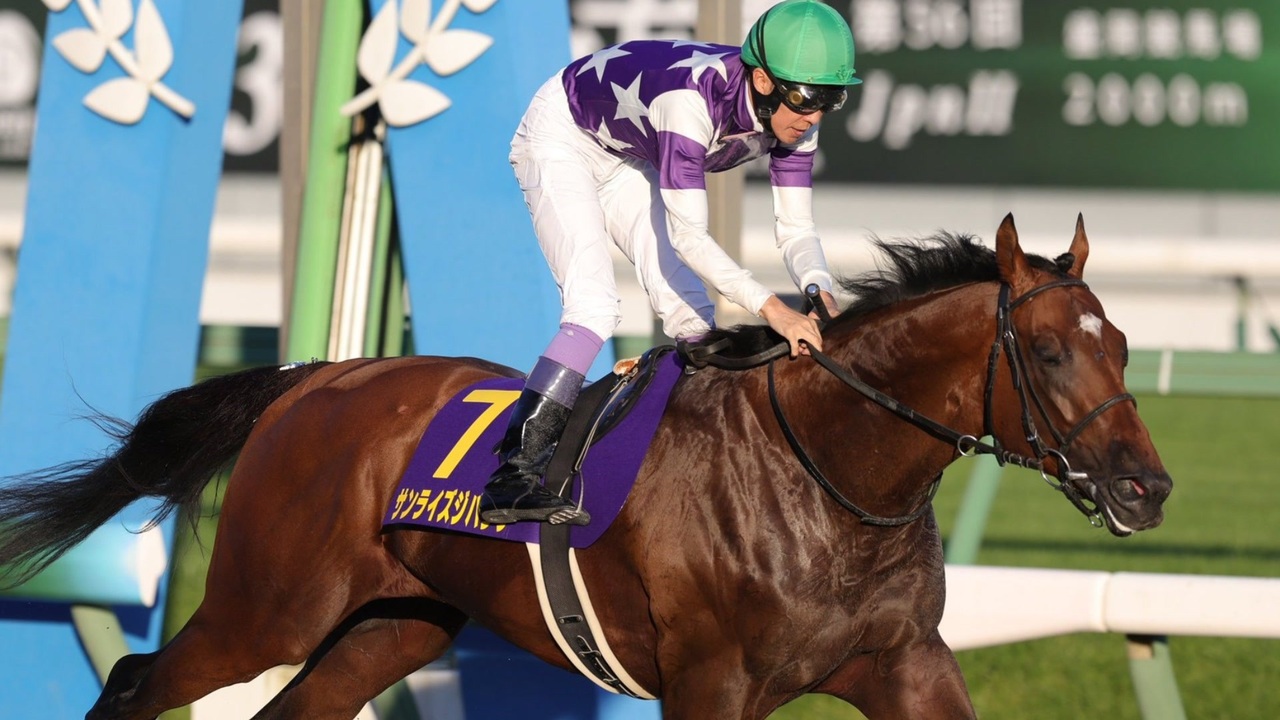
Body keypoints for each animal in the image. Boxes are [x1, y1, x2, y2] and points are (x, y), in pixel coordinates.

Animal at [0, 213, 1171, 719]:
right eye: (1050, 350)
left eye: (1122, 344)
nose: (1145, 487)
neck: (830, 480)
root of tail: (311, 380)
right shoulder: (711, 683)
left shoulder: (905, 663)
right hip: (268, 607)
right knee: (138, 682)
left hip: (391, 623)